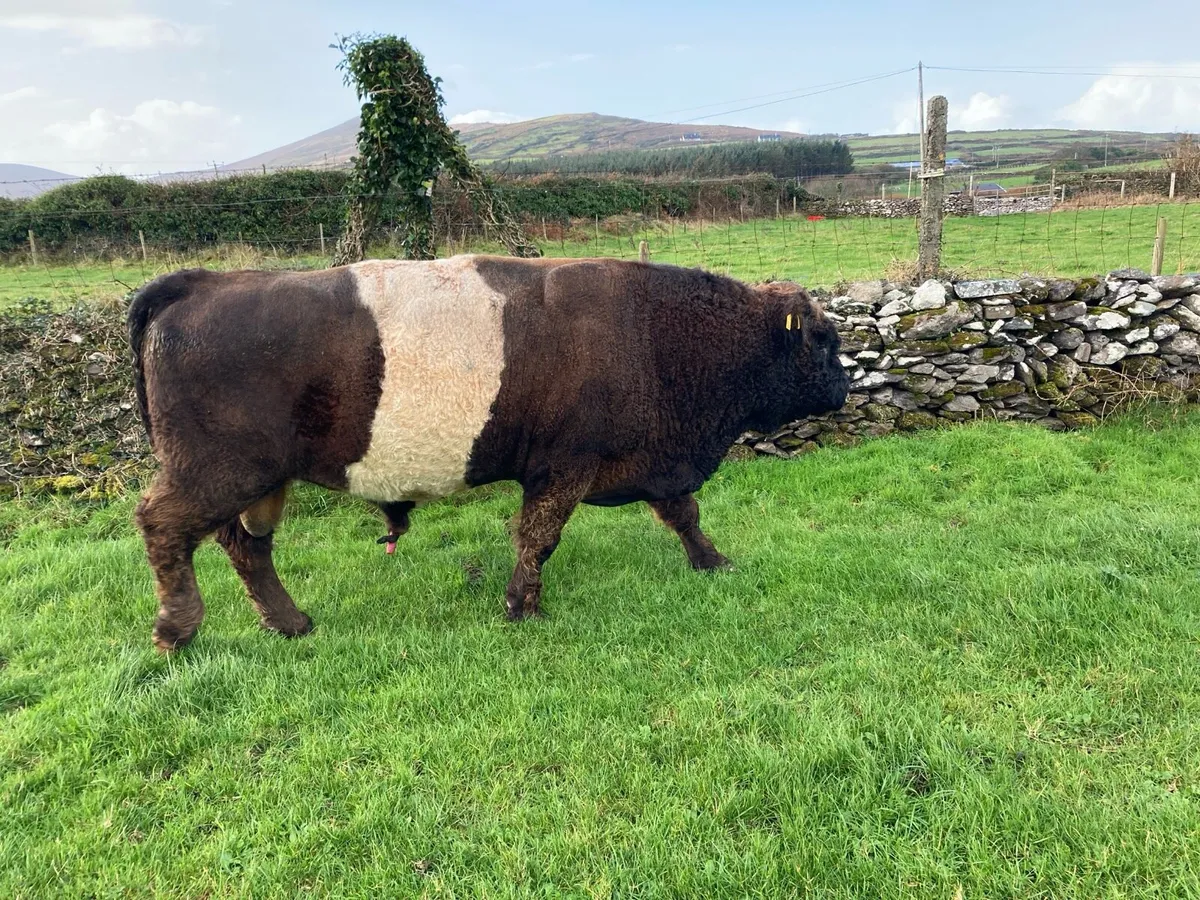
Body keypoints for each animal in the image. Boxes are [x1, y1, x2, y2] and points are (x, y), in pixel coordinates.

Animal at [128, 255, 849, 651]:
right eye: (825, 338)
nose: (844, 388)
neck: (653, 333)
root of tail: (199, 284)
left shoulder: (652, 460)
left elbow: (684, 514)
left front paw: (712, 561)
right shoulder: (564, 465)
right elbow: (539, 537)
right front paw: (522, 605)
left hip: (257, 481)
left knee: (246, 546)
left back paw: (289, 621)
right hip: (216, 471)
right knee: (163, 526)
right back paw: (176, 630)